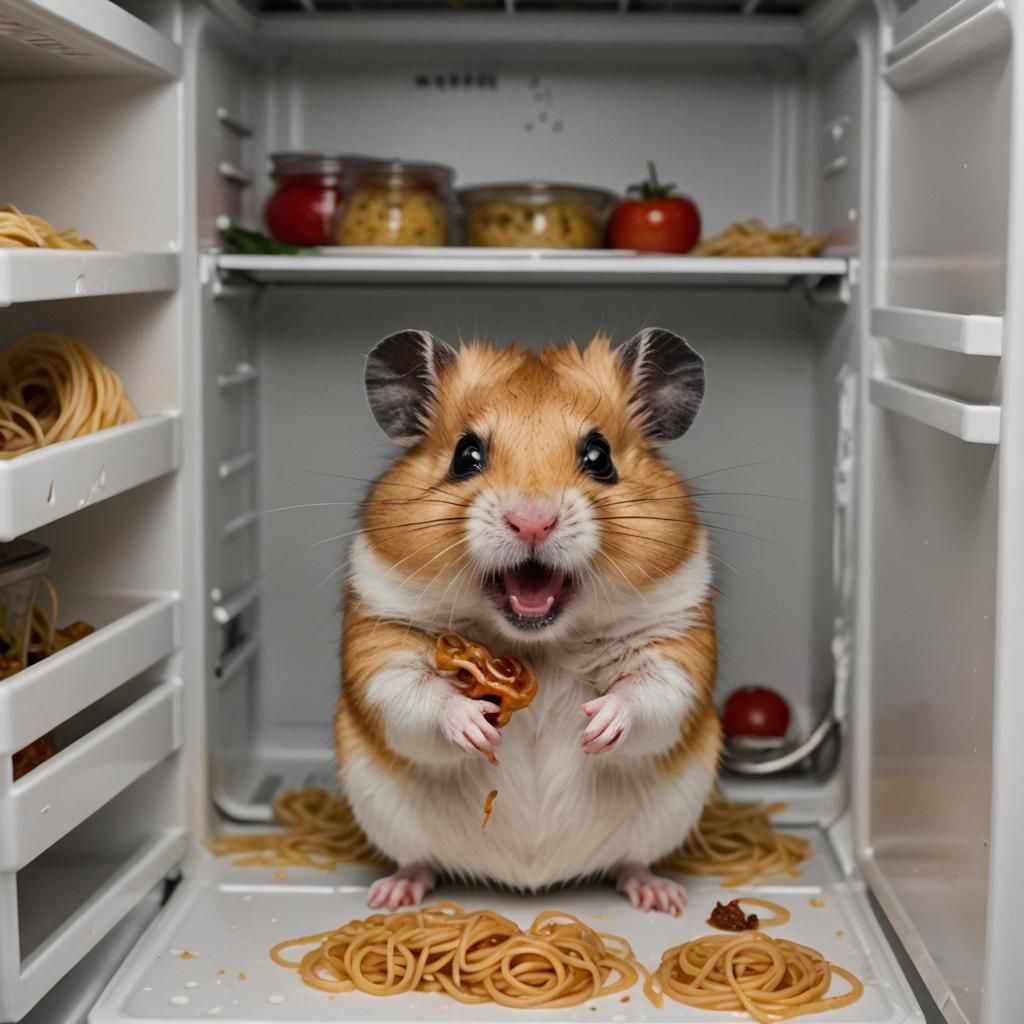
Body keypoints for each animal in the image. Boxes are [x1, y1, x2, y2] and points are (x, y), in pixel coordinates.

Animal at [336, 328, 720, 914]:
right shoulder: (381, 637)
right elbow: (412, 694)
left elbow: (653, 691)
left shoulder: (677, 635)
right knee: (418, 860)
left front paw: (596, 725)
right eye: (465, 455)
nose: (532, 521)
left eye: (600, 457)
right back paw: (391, 896)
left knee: (632, 861)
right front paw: (474, 725)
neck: (539, 642)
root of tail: (532, 879)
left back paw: (661, 897)